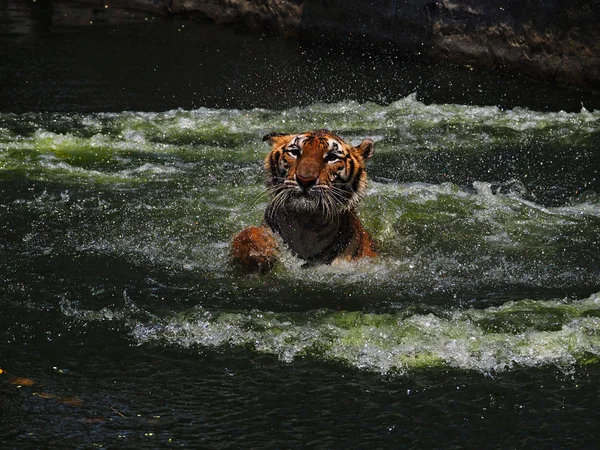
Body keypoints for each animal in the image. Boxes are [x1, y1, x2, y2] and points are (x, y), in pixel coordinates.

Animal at [230, 128, 376, 272]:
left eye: (332, 157)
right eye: (295, 152)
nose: (305, 179)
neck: (305, 225)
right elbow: (246, 236)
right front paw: (263, 248)